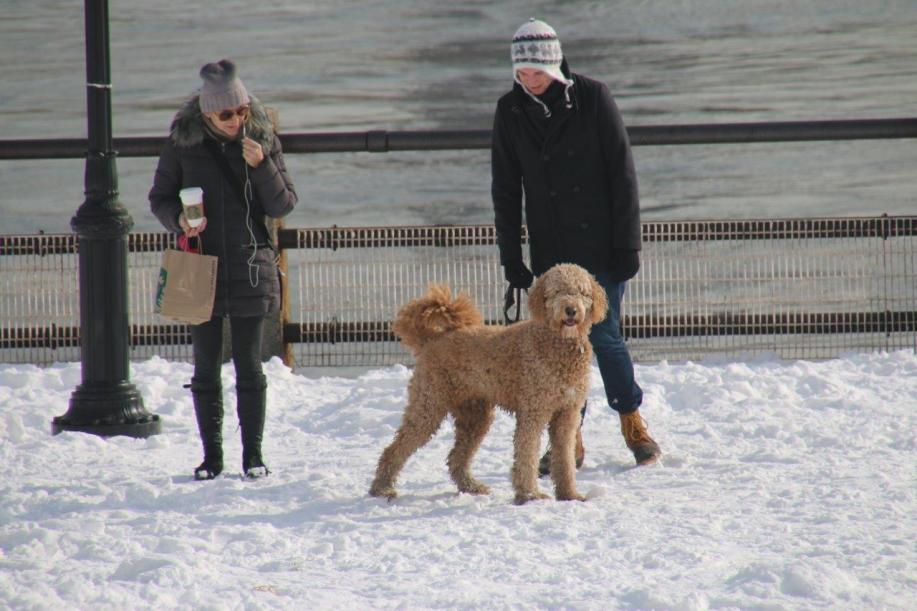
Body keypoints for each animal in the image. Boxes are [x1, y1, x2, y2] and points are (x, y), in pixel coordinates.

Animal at [369, 263, 608, 505]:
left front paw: (570, 494)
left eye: (582, 292)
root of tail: (432, 339)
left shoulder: (567, 413)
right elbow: (527, 454)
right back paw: (382, 488)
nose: (571, 310)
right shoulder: (533, 411)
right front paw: (530, 495)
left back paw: (471, 487)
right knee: (395, 448)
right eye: (558, 291)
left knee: (456, 458)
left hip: (474, 415)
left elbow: (565, 458)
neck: (556, 342)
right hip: (428, 405)